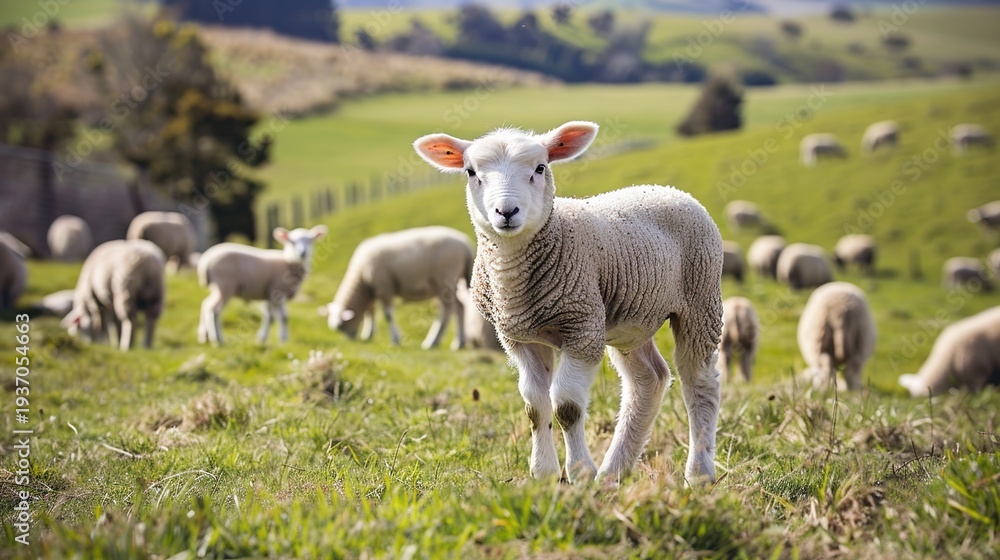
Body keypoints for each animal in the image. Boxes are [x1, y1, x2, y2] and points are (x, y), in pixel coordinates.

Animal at [197, 225, 327, 346]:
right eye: (291, 241)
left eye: (310, 240)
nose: (302, 253)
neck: (288, 261)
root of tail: (205, 261)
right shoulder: (276, 290)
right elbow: (279, 317)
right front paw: (277, 339)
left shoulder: (271, 295)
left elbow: (279, 317)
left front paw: (277, 339)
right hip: (225, 286)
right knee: (214, 310)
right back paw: (217, 340)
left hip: (218, 288)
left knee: (205, 304)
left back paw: (204, 336)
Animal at [320, 226, 474, 350]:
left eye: (341, 326)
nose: (351, 341)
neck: (361, 279)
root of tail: (465, 243)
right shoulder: (372, 290)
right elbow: (370, 311)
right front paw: (368, 334)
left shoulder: (384, 285)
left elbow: (387, 315)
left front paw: (395, 340)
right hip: (451, 283)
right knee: (460, 308)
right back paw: (459, 343)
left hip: (444, 279)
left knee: (447, 311)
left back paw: (431, 342)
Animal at [414, 121, 724, 484]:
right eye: (471, 172)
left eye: (540, 168)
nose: (506, 212)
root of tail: (668, 189)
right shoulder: (520, 339)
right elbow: (535, 406)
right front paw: (545, 473)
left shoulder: (582, 327)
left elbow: (567, 406)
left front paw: (579, 472)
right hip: (629, 321)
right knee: (649, 381)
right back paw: (613, 473)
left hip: (701, 299)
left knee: (699, 384)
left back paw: (699, 473)